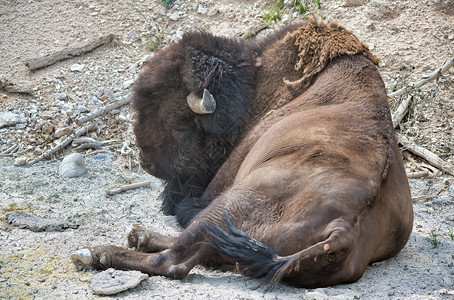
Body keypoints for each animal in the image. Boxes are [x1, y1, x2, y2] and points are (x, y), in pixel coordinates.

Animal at [72, 18, 414, 288]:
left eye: (178, 126)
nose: (146, 163)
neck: (258, 85)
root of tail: (342, 230)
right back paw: (137, 237)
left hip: (228, 205)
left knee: (174, 260)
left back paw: (97, 253)